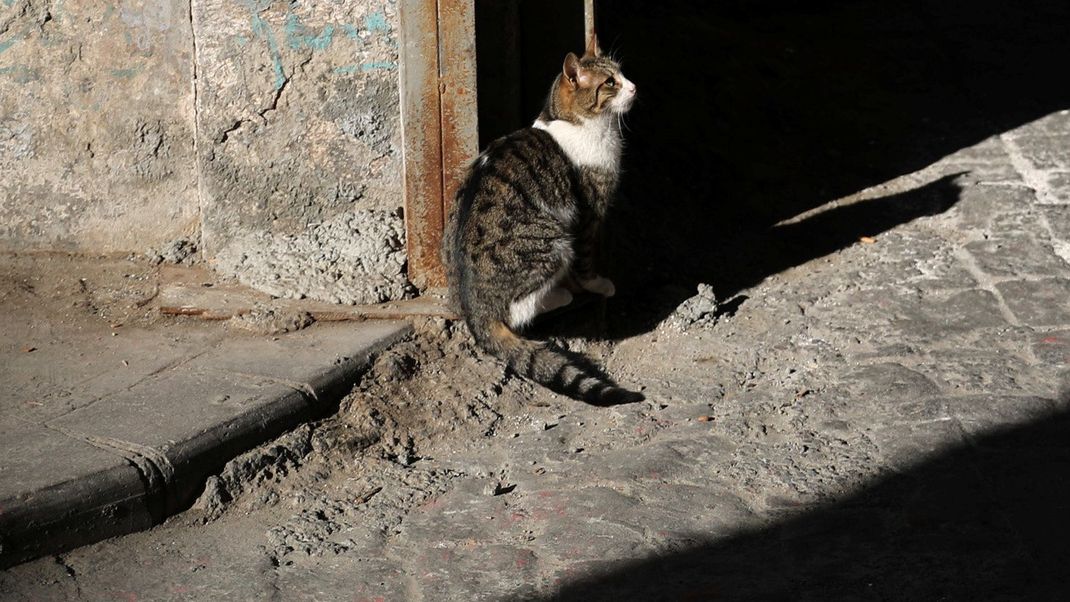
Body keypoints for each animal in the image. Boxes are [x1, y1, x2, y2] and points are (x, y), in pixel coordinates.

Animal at [442, 36, 642, 404]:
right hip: (554, 243)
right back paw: (561, 296)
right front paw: (598, 284)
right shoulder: (588, 215)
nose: (634, 86)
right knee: (520, 311)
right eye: (610, 82)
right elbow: (587, 264)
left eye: (621, 73)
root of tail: (475, 312)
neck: (573, 122)